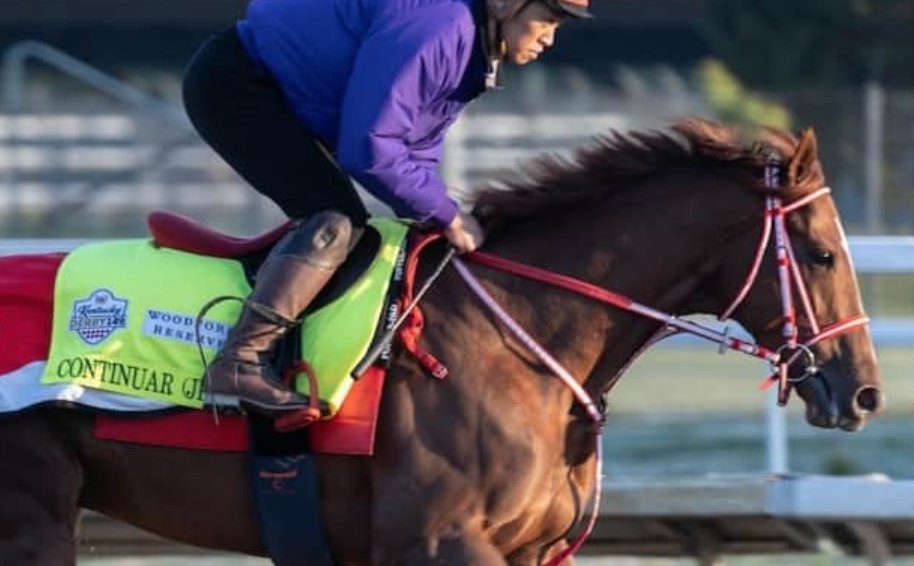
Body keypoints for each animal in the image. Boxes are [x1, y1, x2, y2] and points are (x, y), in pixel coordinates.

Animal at [0, 118, 884, 565]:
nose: (866, 390)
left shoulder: (529, 552)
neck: (521, 337)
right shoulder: (438, 542)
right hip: (34, 516)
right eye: (821, 254)